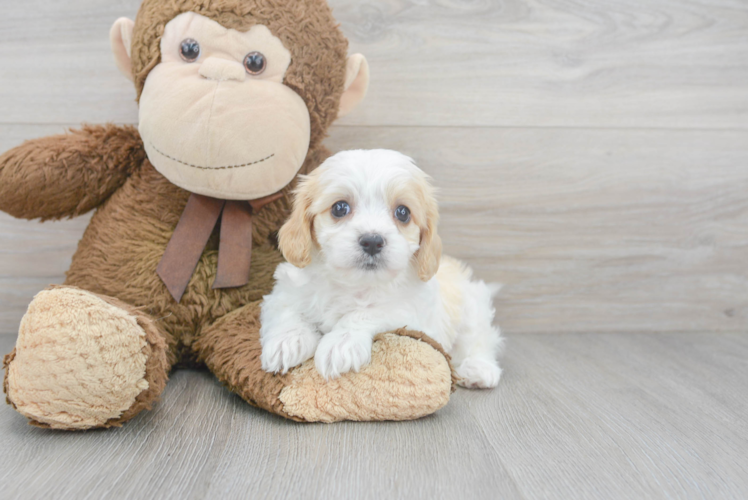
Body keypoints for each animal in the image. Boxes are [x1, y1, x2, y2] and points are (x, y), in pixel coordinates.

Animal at [262, 148, 502, 386]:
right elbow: (288, 309)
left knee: (479, 339)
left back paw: (478, 369)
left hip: (472, 308)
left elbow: (367, 313)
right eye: (340, 208)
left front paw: (341, 343)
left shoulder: (408, 311)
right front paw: (287, 341)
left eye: (403, 212)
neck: (353, 284)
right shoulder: (283, 291)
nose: (372, 241)